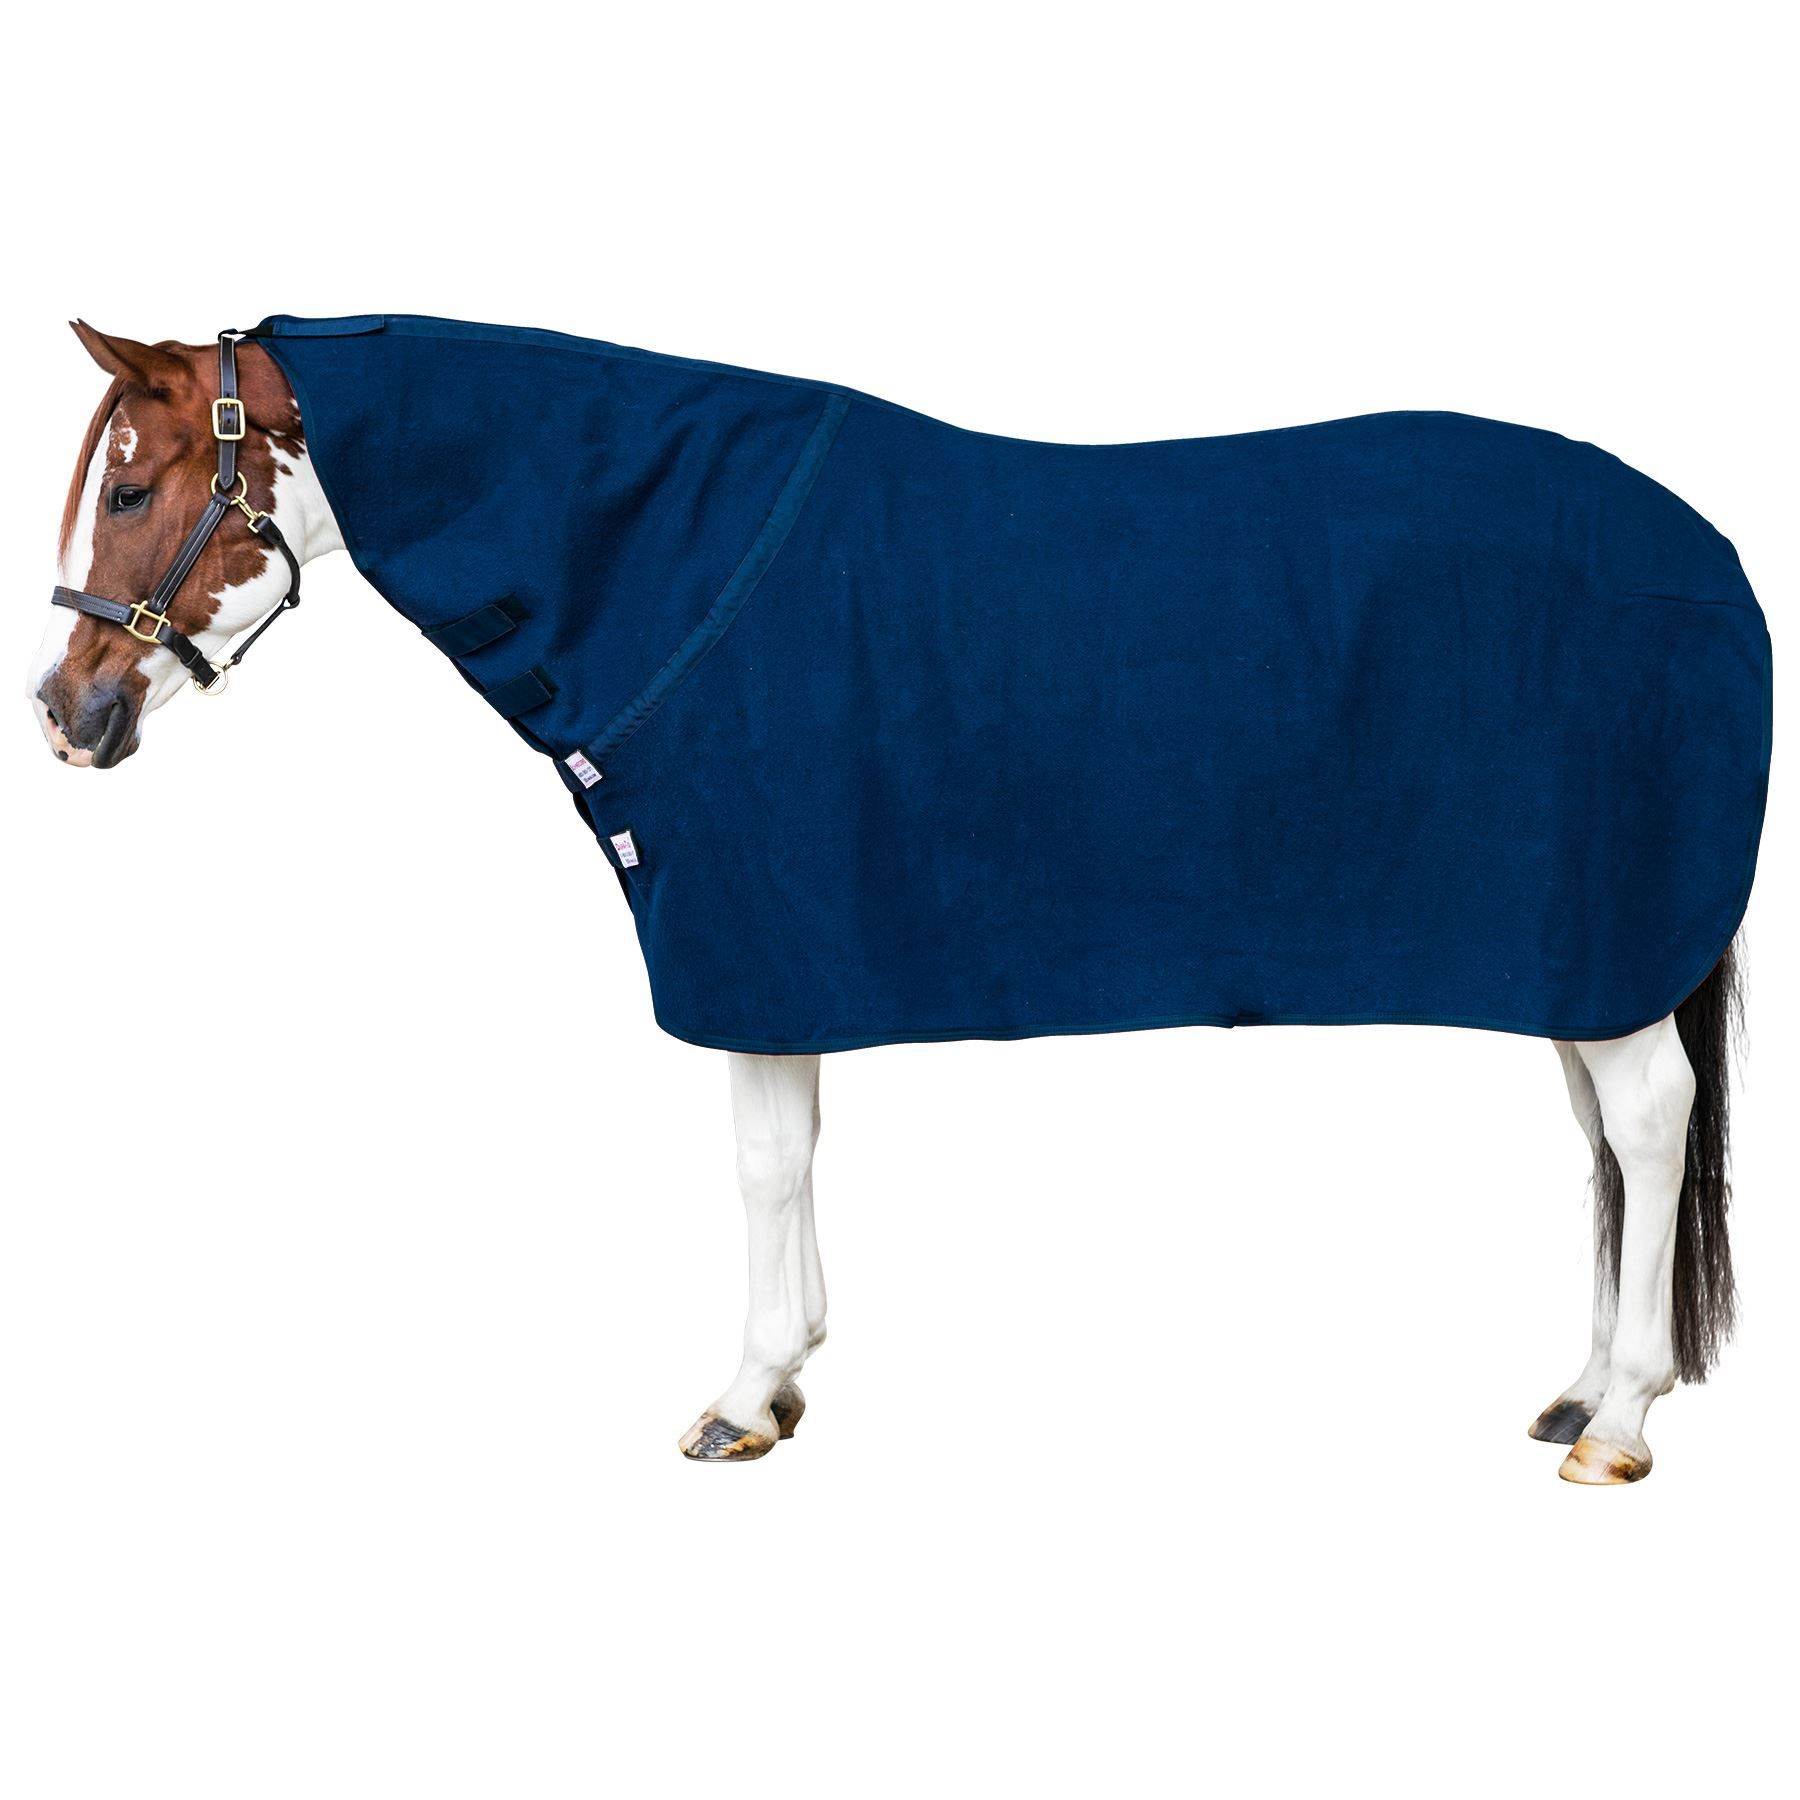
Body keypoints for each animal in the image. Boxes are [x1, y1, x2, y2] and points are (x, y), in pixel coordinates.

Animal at [30, 319, 1770, 1482]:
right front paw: (790, 1375)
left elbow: (758, 1161)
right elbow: (794, 1155)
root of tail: (1710, 553)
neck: (668, 553)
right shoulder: (779, 952)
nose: (67, 714)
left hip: (1609, 946)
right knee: (1606, 1142)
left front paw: (741, 1397)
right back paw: (1583, 1386)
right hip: (1584, 959)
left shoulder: (748, 941)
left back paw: (1618, 1418)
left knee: (1646, 1126)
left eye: (131, 489)